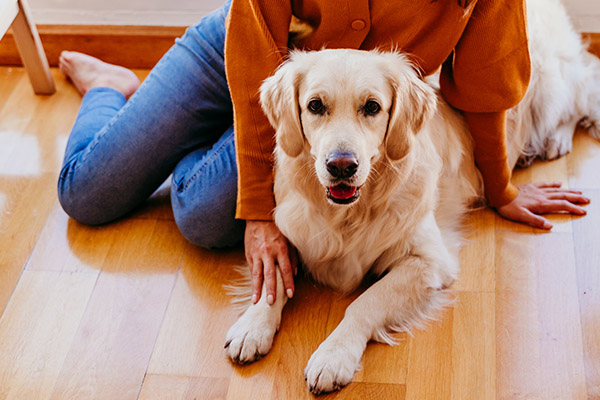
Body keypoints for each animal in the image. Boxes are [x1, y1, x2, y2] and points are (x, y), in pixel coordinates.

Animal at [224, 0, 600, 394]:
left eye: (372, 107)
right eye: (314, 106)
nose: (341, 166)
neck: (348, 215)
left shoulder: (427, 261)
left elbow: (364, 303)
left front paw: (333, 356)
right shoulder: (295, 232)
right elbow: (273, 276)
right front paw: (253, 324)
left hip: (548, 84)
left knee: (582, 96)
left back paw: (556, 140)